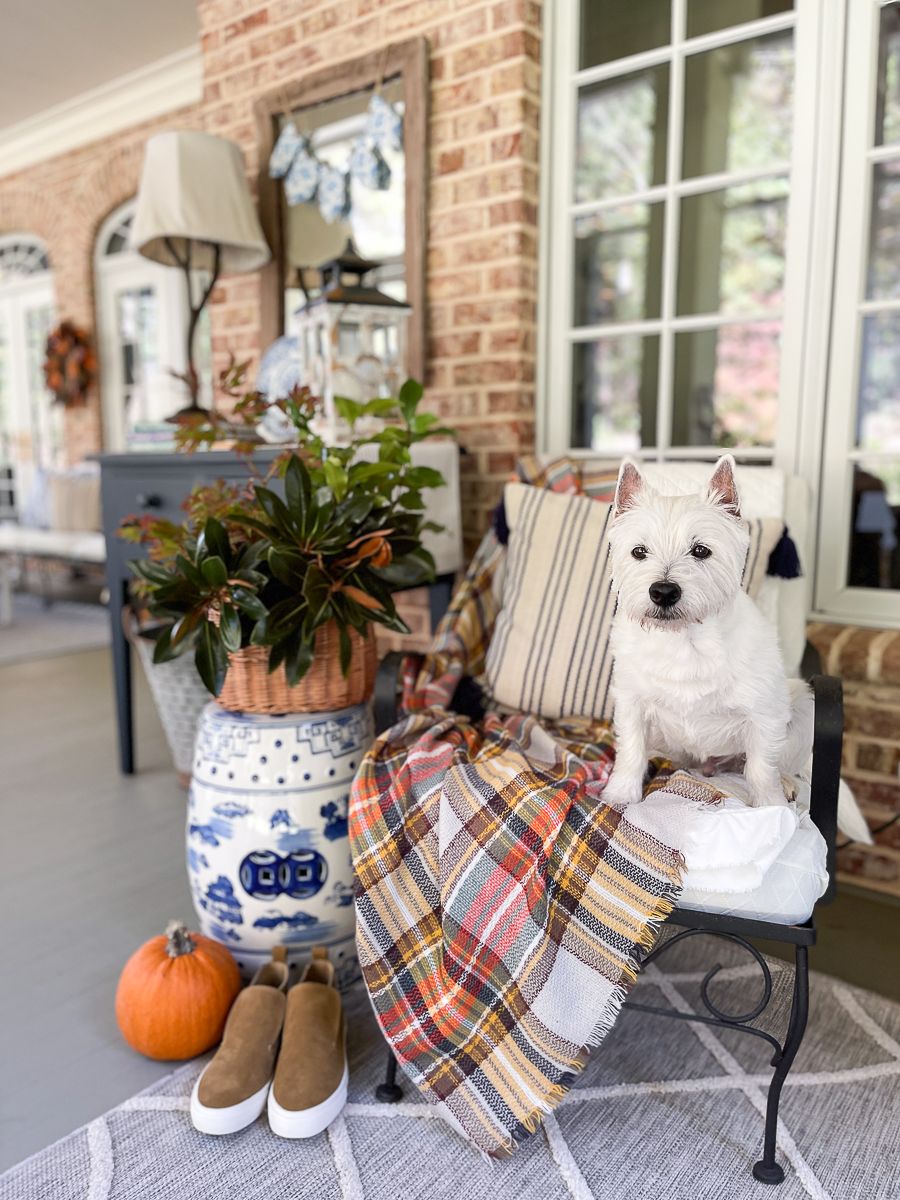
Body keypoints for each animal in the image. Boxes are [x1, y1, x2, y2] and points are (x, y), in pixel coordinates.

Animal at [602, 453, 816, 811]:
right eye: (639, 551)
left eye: (701, 550)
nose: (663, 592)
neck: (684, 641)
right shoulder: (632, 703)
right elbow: (631, 750)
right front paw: (620, 794)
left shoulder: (765, 713)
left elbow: (761, 767)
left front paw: (770, 806)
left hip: (801, 705)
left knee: (775, 762)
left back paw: (786, 783)